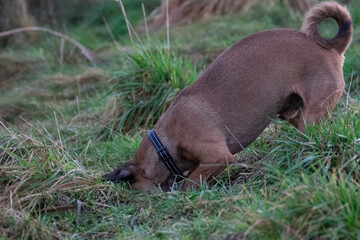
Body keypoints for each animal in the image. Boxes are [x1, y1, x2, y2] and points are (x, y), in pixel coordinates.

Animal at [102, 0, 352, 190]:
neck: (164, 142)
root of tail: (331, 48)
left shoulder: (218, 157)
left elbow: (190, 181)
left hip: (312, 116)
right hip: (295, 115)